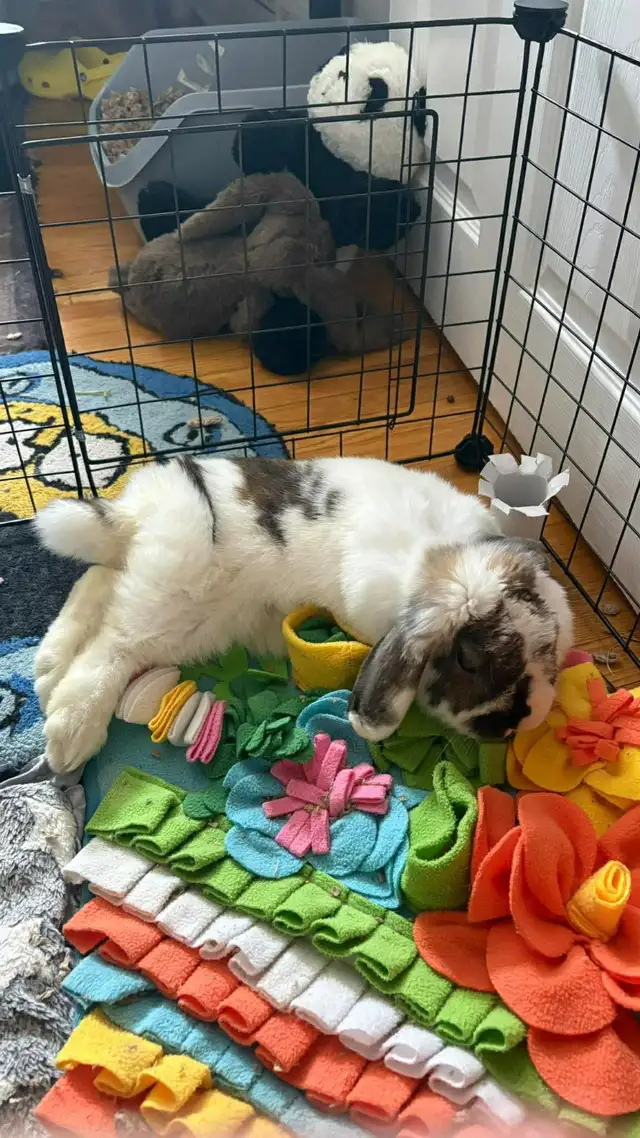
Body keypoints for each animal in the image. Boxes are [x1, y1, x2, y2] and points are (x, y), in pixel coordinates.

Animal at [34, 455, 572, 774]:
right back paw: (68, 734)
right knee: (113, 643)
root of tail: (145, 506)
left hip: (188, 612)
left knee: (100, 581)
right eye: (469, 661)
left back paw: (46, 668)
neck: (441, 556)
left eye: (550, 648)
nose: (520, 721)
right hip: (174, 596)